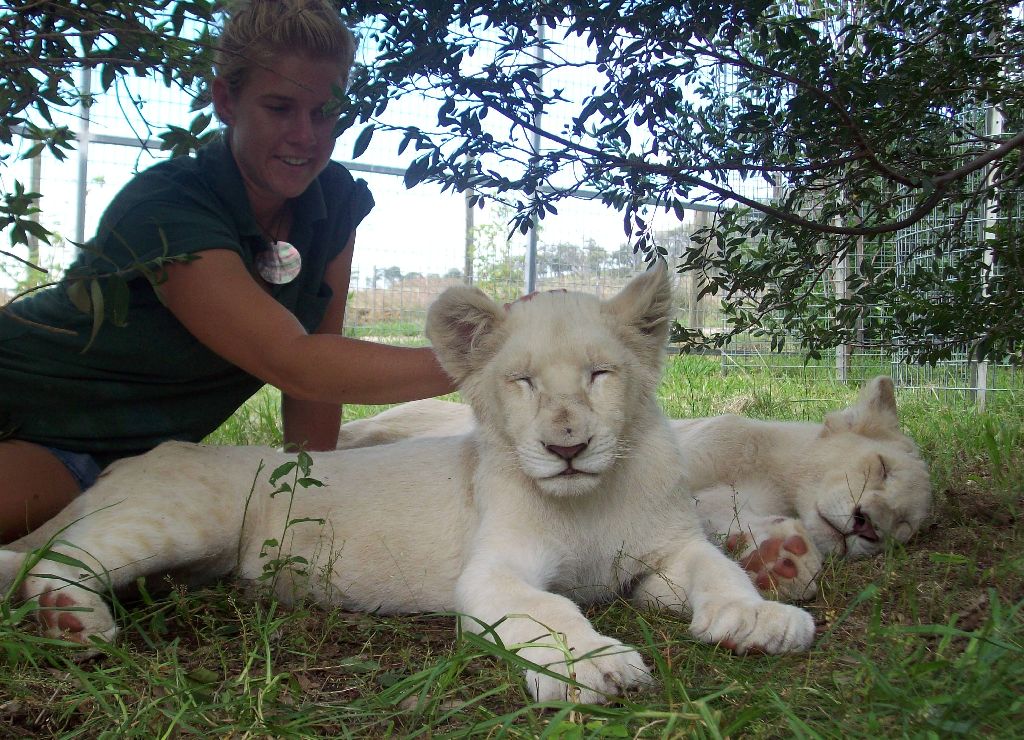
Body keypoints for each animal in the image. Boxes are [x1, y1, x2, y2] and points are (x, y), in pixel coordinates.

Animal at [0, 265, 815, 704]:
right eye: (521, 382)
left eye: (599, 375)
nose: (568, 447)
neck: (589, 501)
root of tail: (134, 461)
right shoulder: (492, 575)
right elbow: (552, 611)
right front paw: (596, 667)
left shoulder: (669, 545)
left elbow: (718, 569)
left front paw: (760, 616)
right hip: (179, 517)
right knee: (49, 558)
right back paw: (69, 621)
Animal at [337, 380, 932, 602]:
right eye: (880, 468)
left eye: (902, 531)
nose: (868, 525)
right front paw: (780, 555)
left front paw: (779, 560)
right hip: (380, 427)